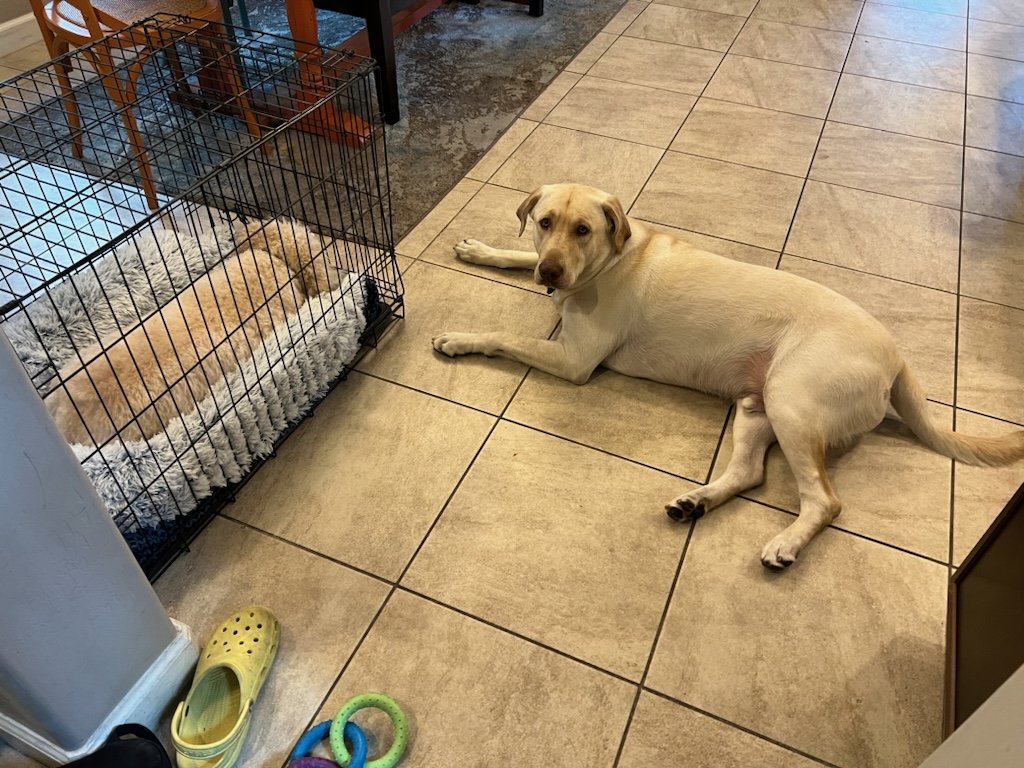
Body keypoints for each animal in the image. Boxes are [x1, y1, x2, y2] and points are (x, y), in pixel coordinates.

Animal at [432, 183, 1024, 573]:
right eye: (545, 223)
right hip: (755, 405)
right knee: (750, 473)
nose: (550, 272)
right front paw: (482, 250)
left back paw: (785, 544)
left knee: (824, 501)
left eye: (583, 230)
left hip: (790, 400)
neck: (609, 261)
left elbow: (506, 338)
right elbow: (514, 256)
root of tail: (896, 355)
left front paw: (459, 337)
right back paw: (697, 501)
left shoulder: (575, 360)